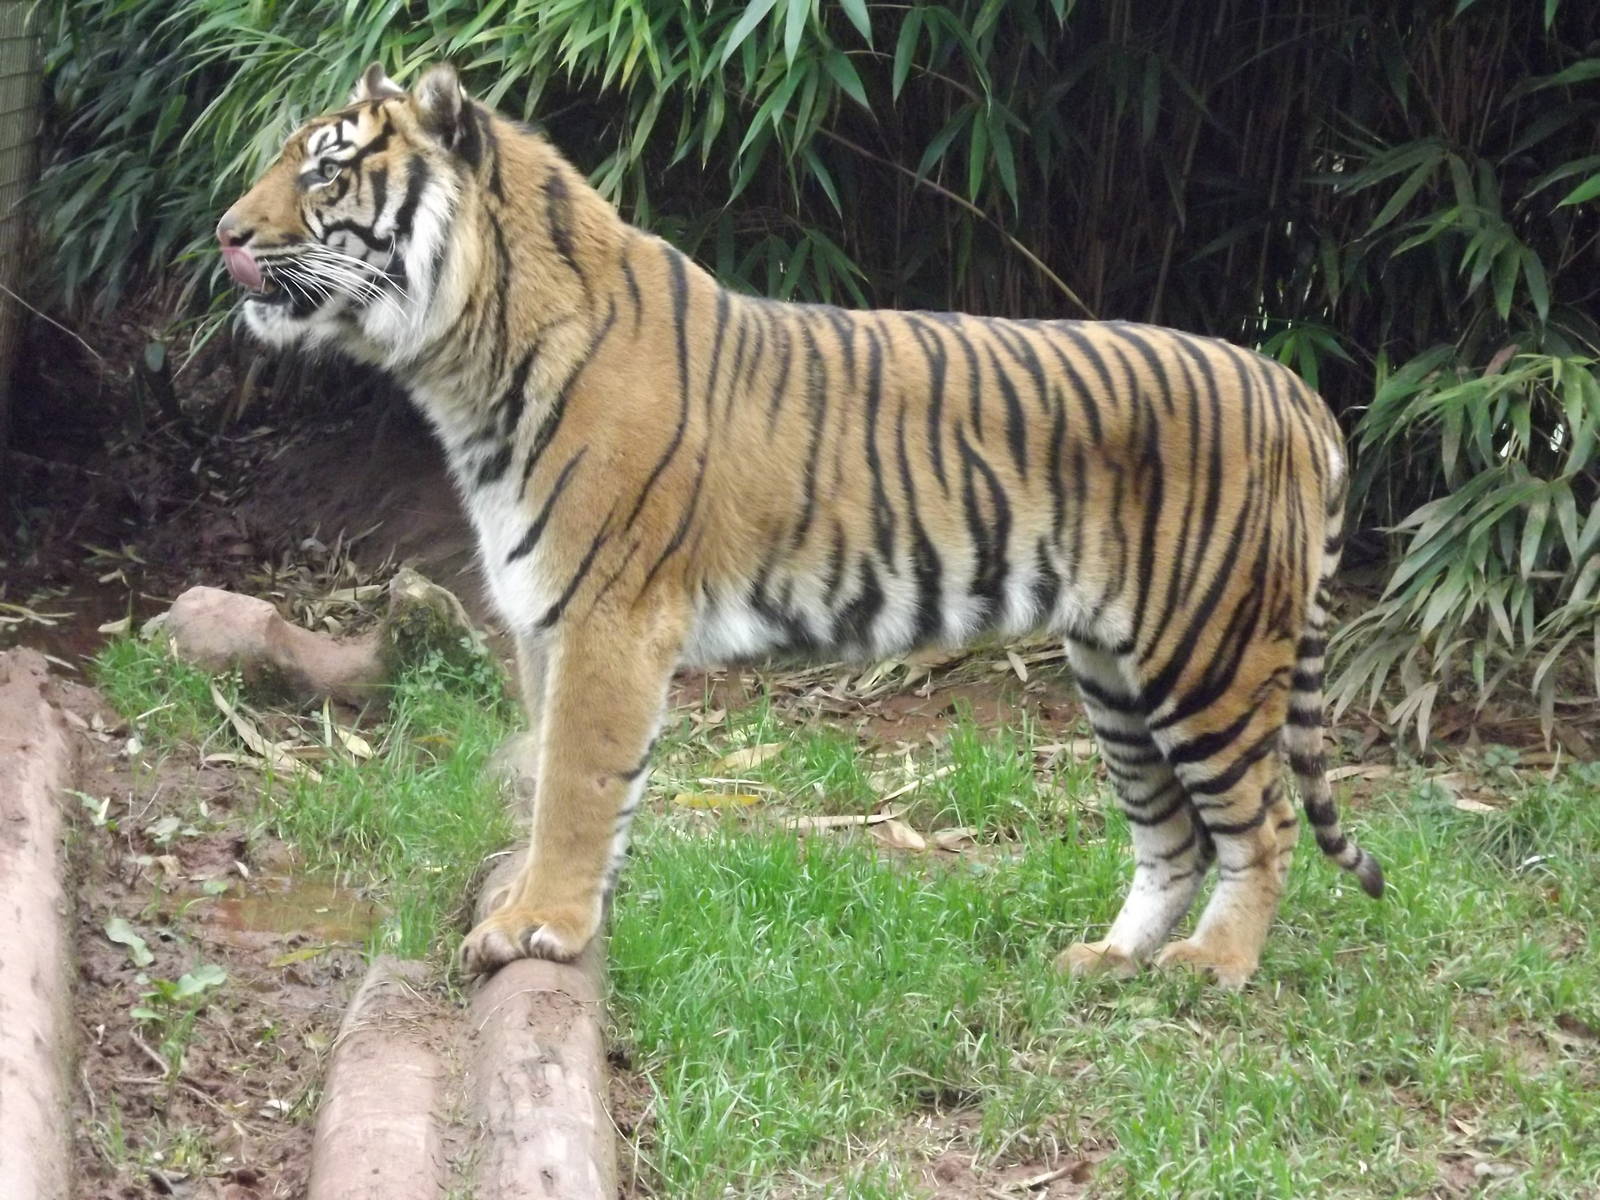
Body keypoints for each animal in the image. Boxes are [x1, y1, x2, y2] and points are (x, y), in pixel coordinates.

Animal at [217, 61, 1382, 988]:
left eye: (323, 173)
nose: (225, 233)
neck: (463, 363)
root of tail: (1292, 385)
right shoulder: (544, 617)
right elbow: (556, 775)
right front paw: (559, 910)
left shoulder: (606, 618)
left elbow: (577, 785)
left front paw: (538, 925)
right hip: (1114, 665)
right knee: (1172, 834)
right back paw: (1107, 959)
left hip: (1210, 652)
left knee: (1262, 821)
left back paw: (1211, 968)